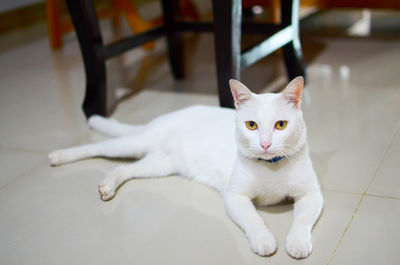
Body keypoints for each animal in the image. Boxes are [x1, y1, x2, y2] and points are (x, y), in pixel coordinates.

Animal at [49, 76, 322, 258]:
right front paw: (264, 240)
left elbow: (302, 220)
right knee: (97, 147)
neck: (271, 166)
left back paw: (107, 186)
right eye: (251, 125)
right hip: (132, 144)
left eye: (281, 125)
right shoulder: (235, 197)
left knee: (125, 169)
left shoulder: (312, 195)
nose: (265, 145)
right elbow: (253, 219)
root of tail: (170, 116)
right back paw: (59, 156)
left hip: (159, 165)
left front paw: (297, 243)